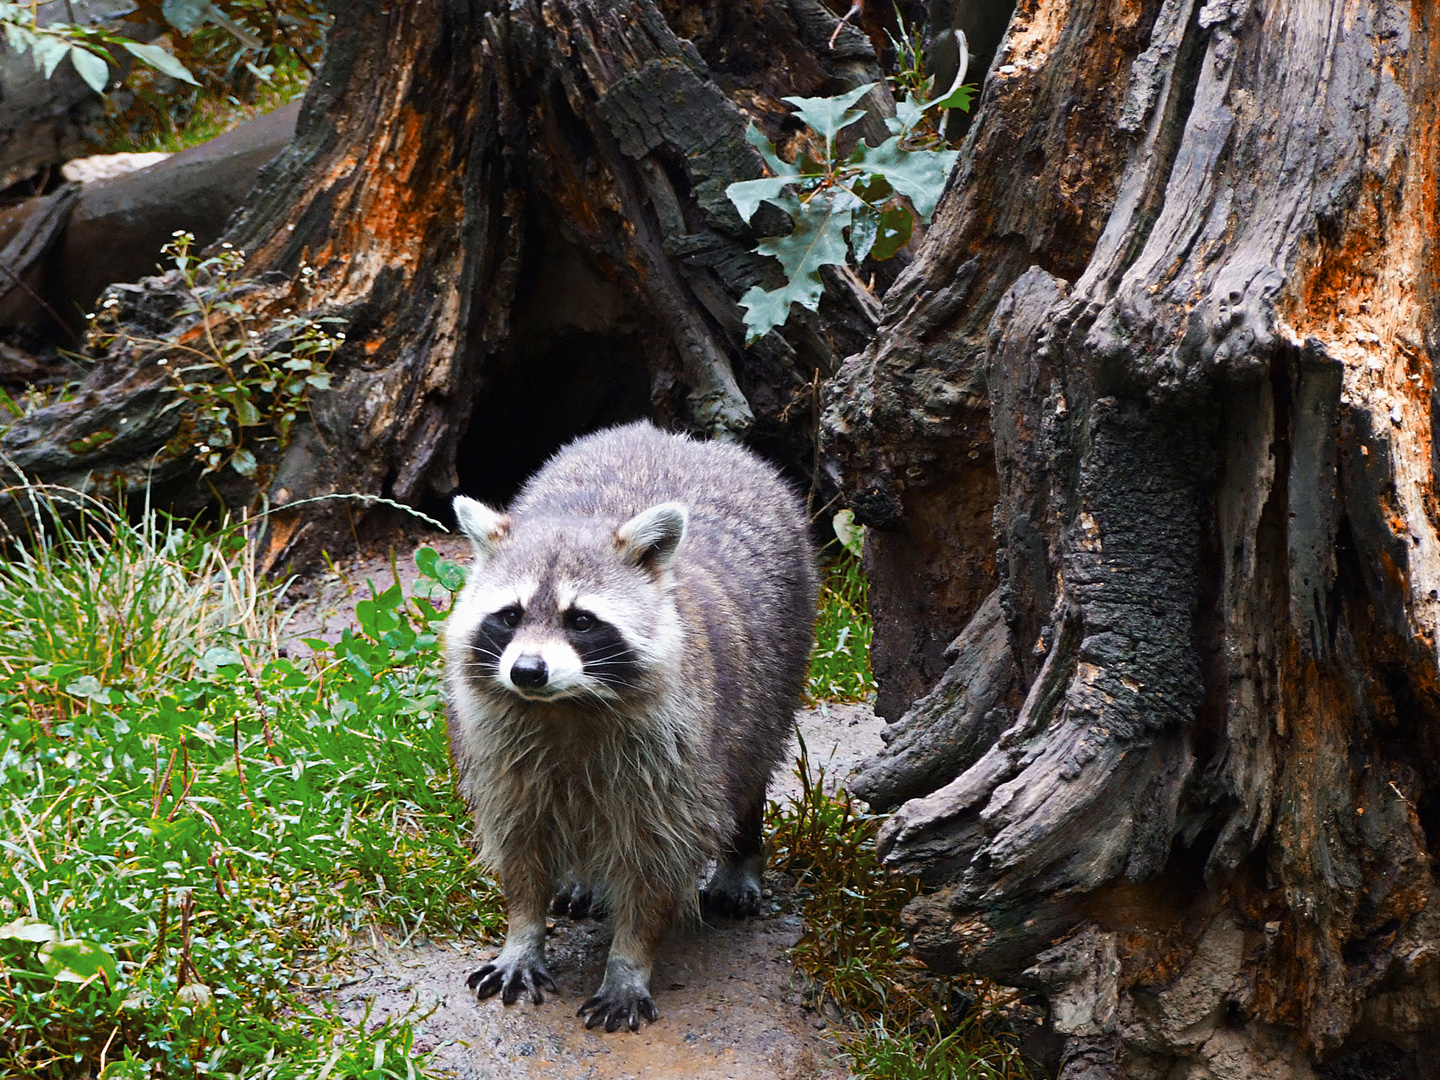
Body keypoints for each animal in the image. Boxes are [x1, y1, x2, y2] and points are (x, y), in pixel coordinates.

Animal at [443, 420, 817, 1031]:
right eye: (511, 615)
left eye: (580, 620)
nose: (527, 671)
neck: (566, 706)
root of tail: (681, 439)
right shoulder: (500, 752)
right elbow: (519, 842)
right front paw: (522, 931)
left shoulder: (680, 756)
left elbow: (656, 868)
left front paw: (628, 961)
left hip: (782, 661)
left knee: (750, 766)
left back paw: (741, 852)